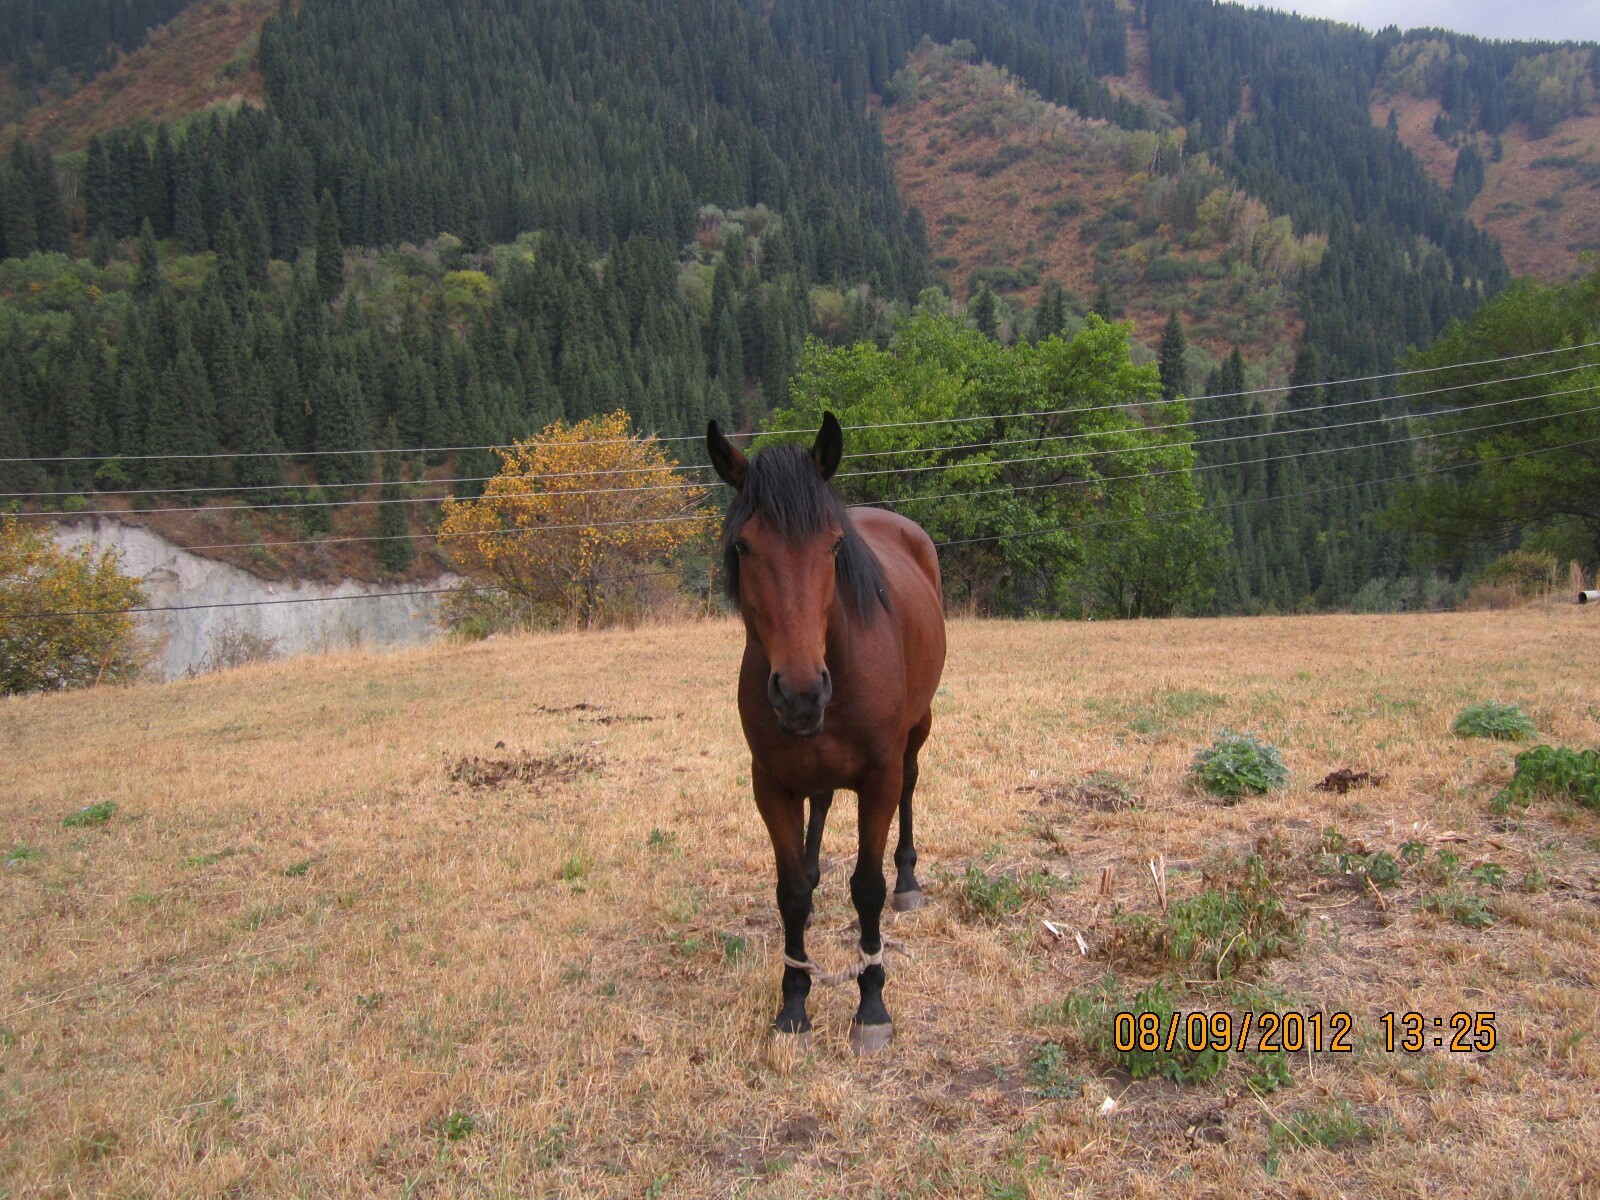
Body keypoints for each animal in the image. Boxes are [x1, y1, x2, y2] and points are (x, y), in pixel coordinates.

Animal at [707, 412, 940, 1049]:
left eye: (834, 545)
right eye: (743, 546)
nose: (800, 692)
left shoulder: (879, 778)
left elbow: (867, 887)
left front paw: (872, 1005)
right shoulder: (771, 785)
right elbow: (789, 892)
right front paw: (793, 1004)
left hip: (918, 730)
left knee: (911, 787)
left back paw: (909, 880)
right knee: (822, 804)